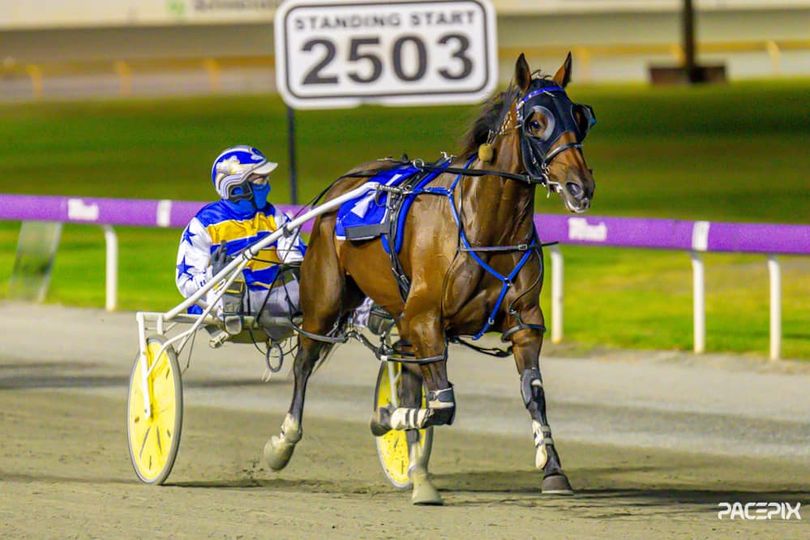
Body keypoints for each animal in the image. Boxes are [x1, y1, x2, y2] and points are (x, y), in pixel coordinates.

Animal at [264, 53, 596, 505]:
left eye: (580, 118)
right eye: (535, 122)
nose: (581, 187)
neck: (484, 226)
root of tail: (351, 179)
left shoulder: (524, 322)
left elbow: (532, 392)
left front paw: (553, 468)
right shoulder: (425, 319)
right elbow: (442, 405)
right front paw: (384, 418)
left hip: (399, 317)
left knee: (404, 373)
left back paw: (418, 473)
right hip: (326, 299)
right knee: (304, 361)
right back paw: (284, 442)